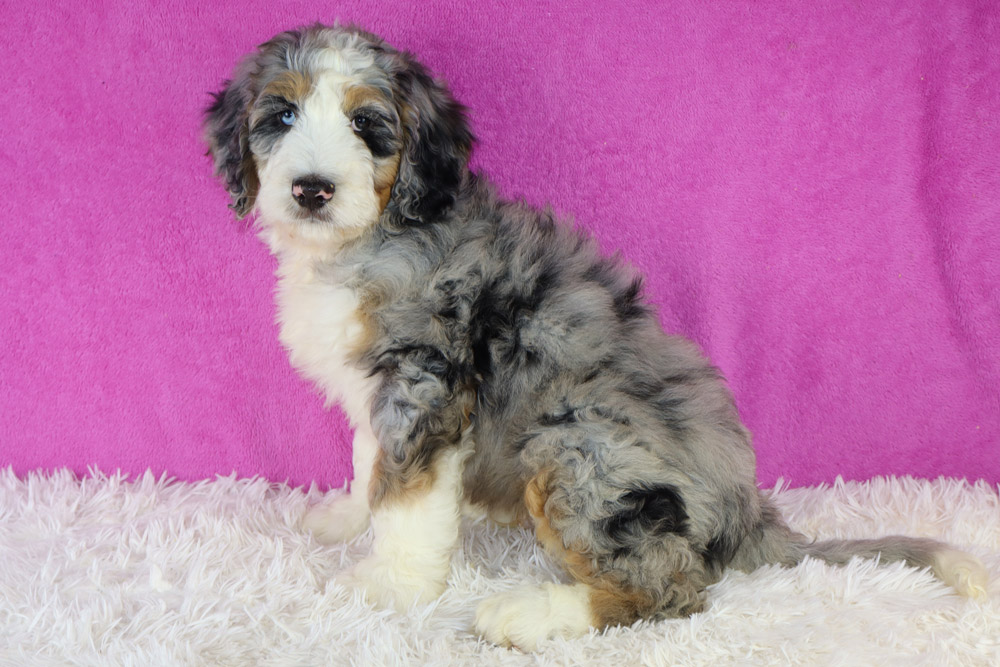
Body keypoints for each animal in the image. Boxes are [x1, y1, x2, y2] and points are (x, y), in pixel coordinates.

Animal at [205, 24, 987, 650]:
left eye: (368, 123)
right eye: (281, 114)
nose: (312, 189)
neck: (376, 234)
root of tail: (748, 515)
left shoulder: (427, 380)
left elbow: (409, 497)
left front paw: (391, 584)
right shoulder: (383, 385)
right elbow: (372, 462)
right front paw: (345, 518)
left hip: (578, 448)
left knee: (667, 588)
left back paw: (528, 614)